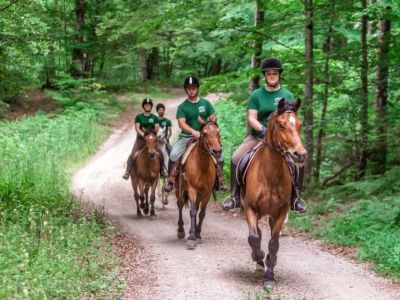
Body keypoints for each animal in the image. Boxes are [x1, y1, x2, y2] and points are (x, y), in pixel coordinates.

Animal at [175, 120, 222, 250]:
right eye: (204, 133)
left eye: (218, 131)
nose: (217, 151)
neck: (201, 165)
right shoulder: (192, 190)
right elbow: (192, 212)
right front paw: (191, 238)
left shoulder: (207, 192)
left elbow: (201, 213)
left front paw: (197, 235)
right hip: (179, 191)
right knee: (180, 205)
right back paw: (181, 231)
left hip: (200, 195)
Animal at [244, 98, 306, 286]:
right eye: (281, 124)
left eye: (300, 124)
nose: (300, 155)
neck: (270, 174)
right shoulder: (250, 209)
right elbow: (253, 238)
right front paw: (258, 258)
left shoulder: (281, 212)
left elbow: (274, 242)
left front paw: (270, 275)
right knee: (258, 234)